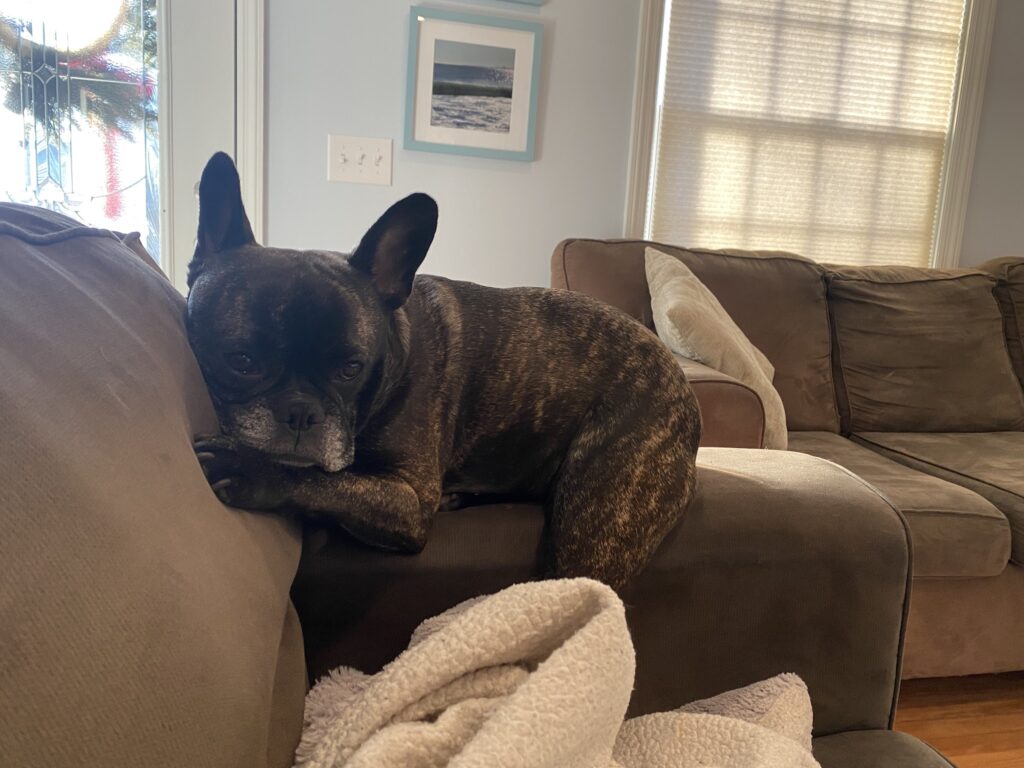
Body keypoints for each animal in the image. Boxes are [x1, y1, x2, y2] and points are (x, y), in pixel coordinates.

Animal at [187, 152, 701, 589]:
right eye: (241, 360)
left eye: (351, 369)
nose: (300, 414)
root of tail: (682, 389)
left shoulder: (409, 500)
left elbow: (326, 481)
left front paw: (250, 468)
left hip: (592, 528)